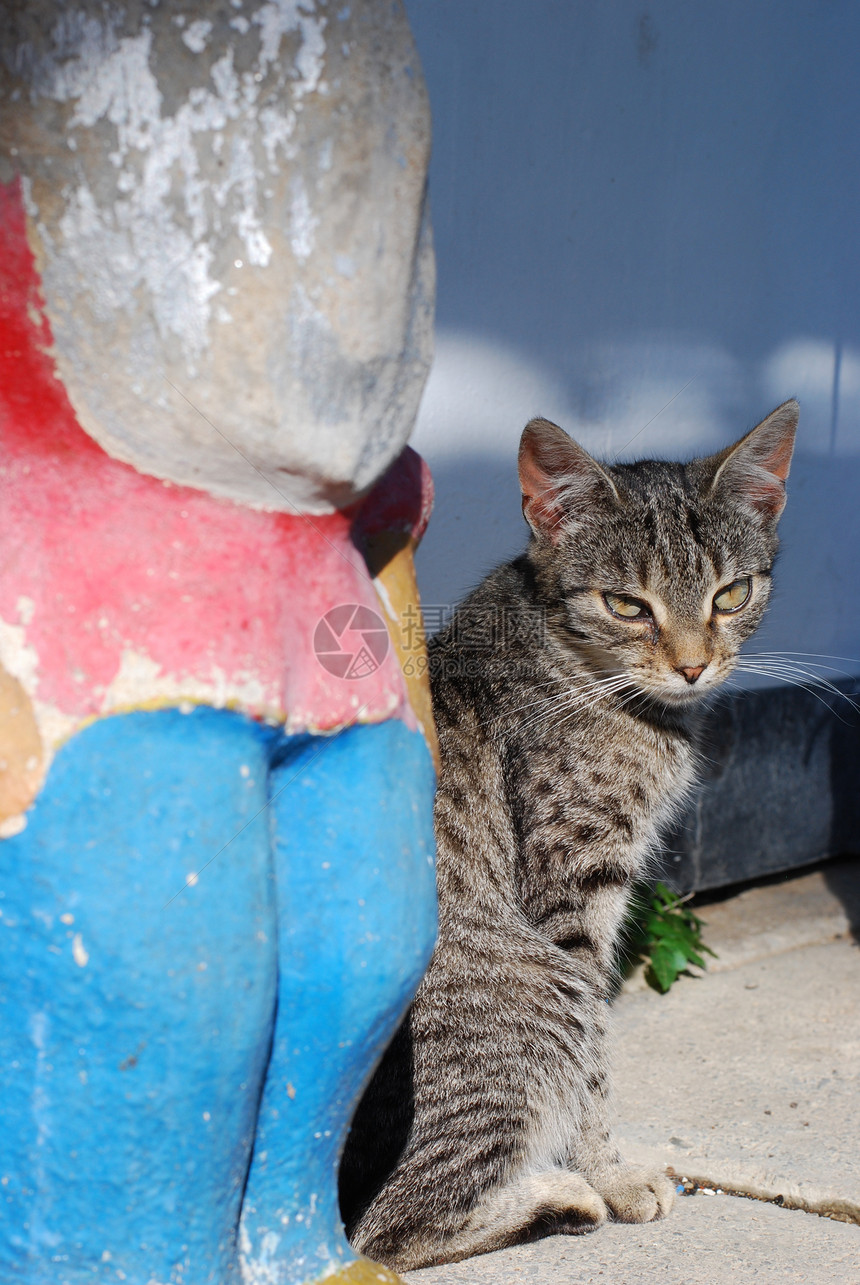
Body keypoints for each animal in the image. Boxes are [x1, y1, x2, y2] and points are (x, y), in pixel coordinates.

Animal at [336, 398, 797, 1264]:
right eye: (627, 605)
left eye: (730, 594)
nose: (693, 666)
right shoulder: (573, 891)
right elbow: (595, 1067)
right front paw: (609, 1172)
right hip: (538, 986)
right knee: (389, 1230)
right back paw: (561, 1195)